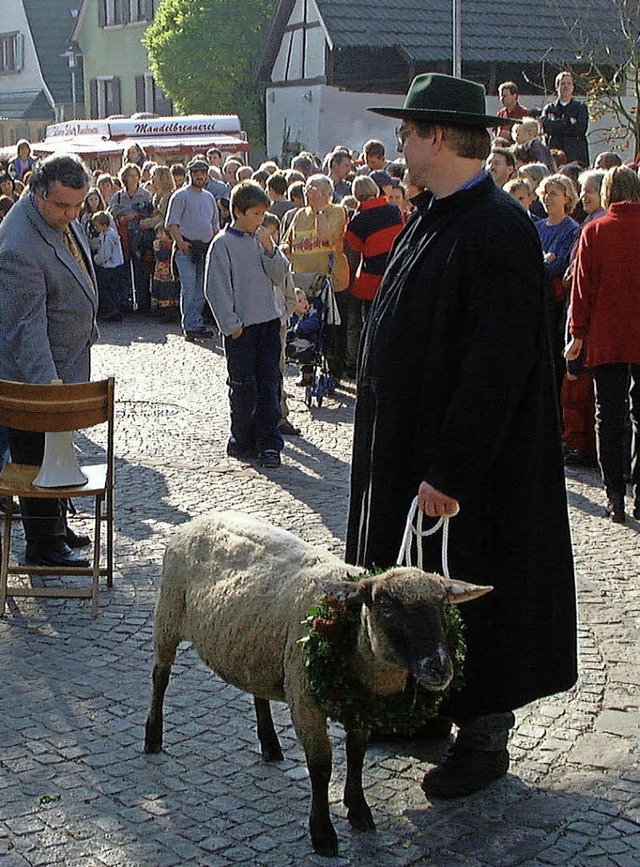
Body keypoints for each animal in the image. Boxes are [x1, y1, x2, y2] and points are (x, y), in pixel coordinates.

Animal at [145, 512, 492, 856]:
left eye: (443, 606)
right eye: (386, 606)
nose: (439, 667)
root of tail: (202, 519)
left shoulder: (362, 705)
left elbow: (356, 752)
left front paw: (359, 810)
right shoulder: (305, 700)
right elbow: (321, 765)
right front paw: (323, 834)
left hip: (257, 645)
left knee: (256, 688)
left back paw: (270, 745)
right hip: (168, 615)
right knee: (160, 676)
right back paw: (153, 738)